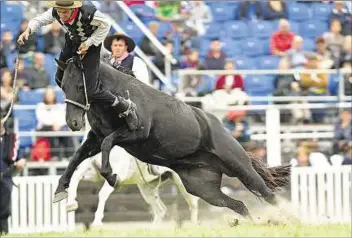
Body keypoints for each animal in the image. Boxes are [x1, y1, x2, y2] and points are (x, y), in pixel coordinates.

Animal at [65, 122, 198, 226]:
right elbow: (75, 177)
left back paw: (194, 225)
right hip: (146, 188)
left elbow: (102, 194)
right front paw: (71, 204)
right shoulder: (93, 174)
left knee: (193, 203)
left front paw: (97, 222)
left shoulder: (116, 176)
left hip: (181, 183)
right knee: (160, 210)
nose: (74, 124)